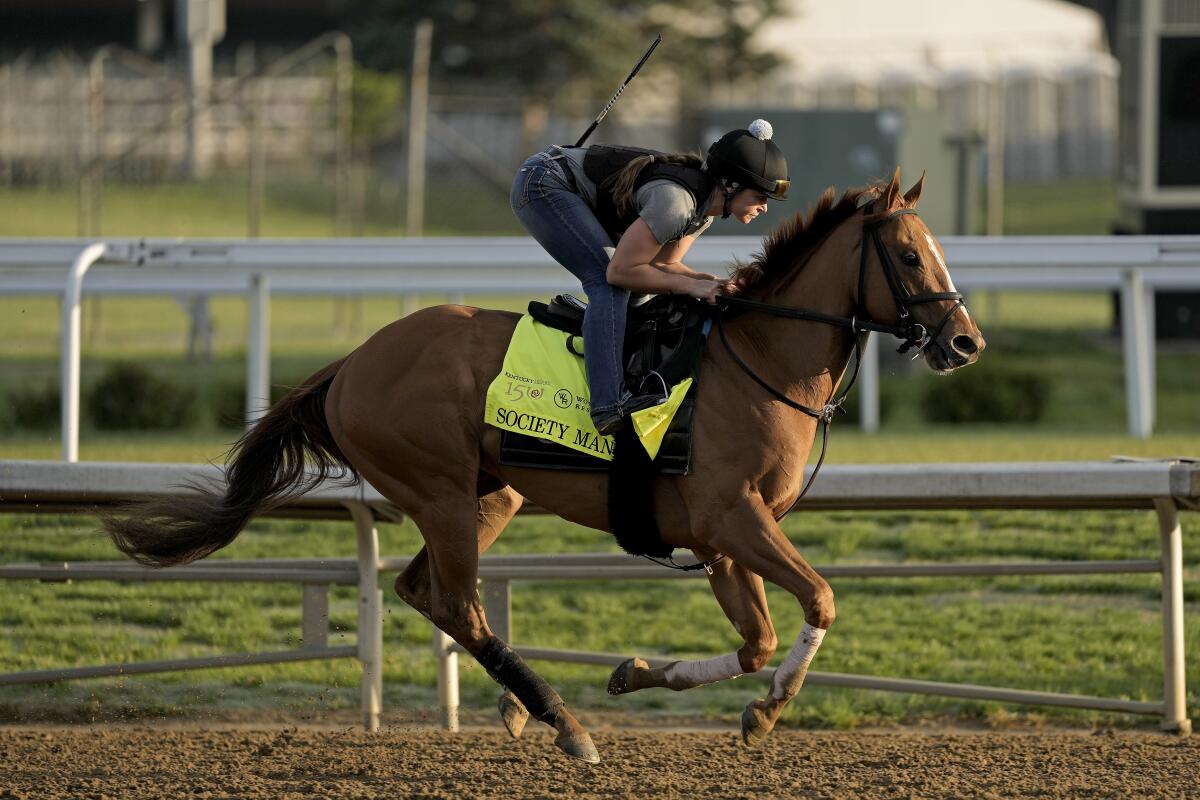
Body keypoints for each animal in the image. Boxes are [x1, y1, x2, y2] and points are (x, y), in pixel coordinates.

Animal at [103, 169, 984, 762]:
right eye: (911, 257)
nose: (966, 341)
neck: (758, 360)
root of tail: (351, 364)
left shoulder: (722, 538)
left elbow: (758, 641)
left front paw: (639, 673)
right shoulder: (734, 517)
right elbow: (821, 599)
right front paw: (768, 710)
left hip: (492, 495)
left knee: (425, 591)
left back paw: (526, 706)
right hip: (441, 491)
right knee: (461, 606)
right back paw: (563, 722)